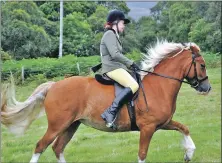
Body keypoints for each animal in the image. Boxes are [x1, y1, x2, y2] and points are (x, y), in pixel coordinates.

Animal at [0, 40, 211, 162]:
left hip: (71, 125)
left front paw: (189, 153)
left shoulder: (163, 123)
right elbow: (142, 154)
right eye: (202, 65)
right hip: (57, 125)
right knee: (41, 146)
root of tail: (53, 86)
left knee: (58, 148)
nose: (207, 88)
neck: (159, 86)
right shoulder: (148, 128)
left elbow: (184, 128)